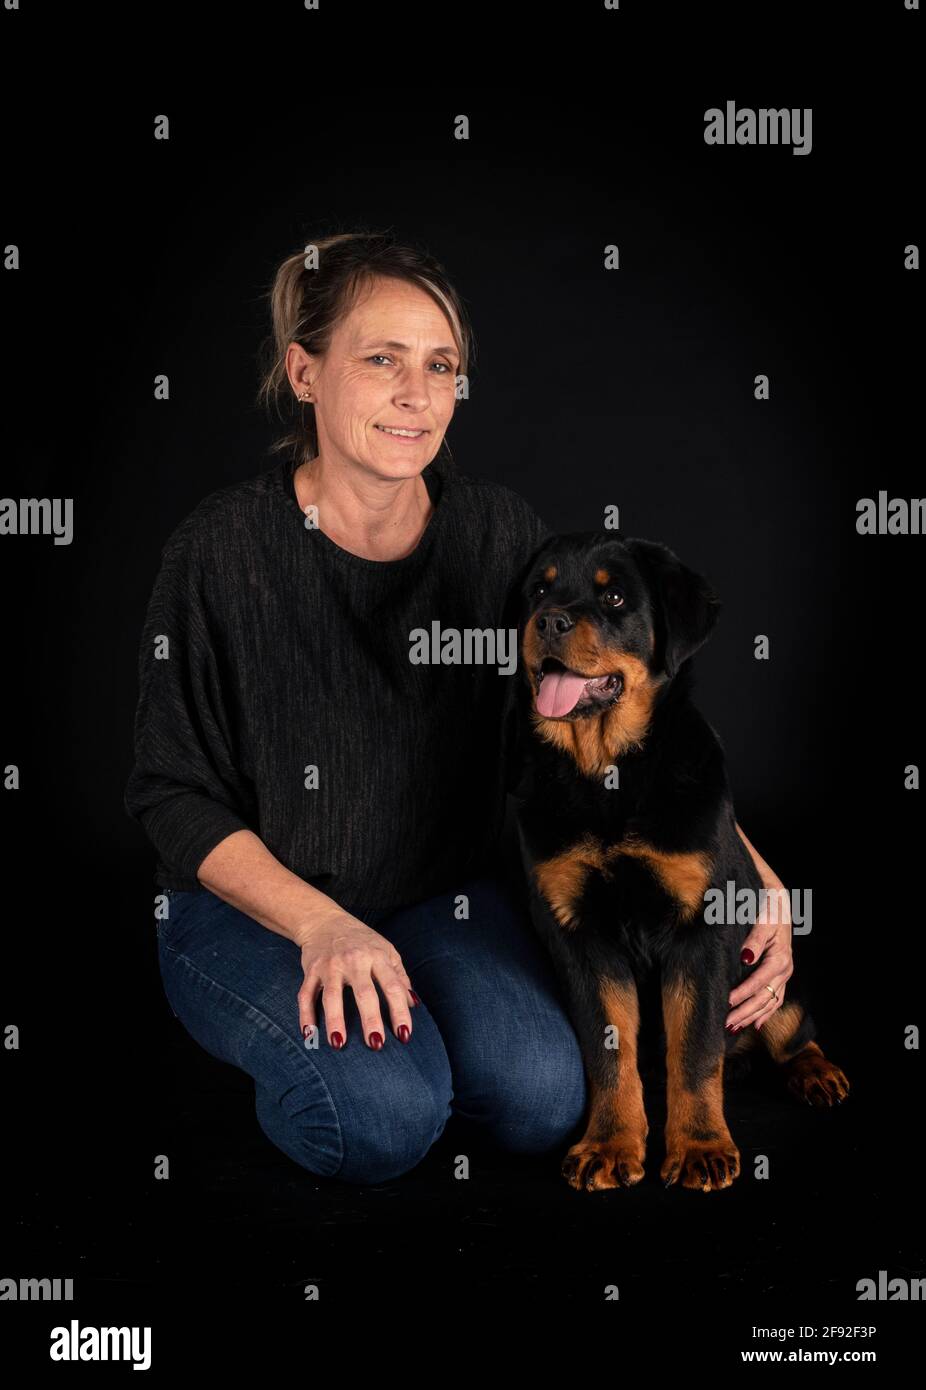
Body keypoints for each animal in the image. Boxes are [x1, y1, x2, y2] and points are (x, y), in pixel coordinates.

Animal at [500, 530, 845, 1195]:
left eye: (613, 598)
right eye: (537, 591)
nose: (548, 620)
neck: (606, 775)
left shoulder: (702, 930)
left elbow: (694, 1052)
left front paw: (700, 1147)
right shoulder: (578, 935)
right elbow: (609, 1052)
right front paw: (609, 1144)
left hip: (773, 973)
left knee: (793, 1031)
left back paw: (816, 1073)